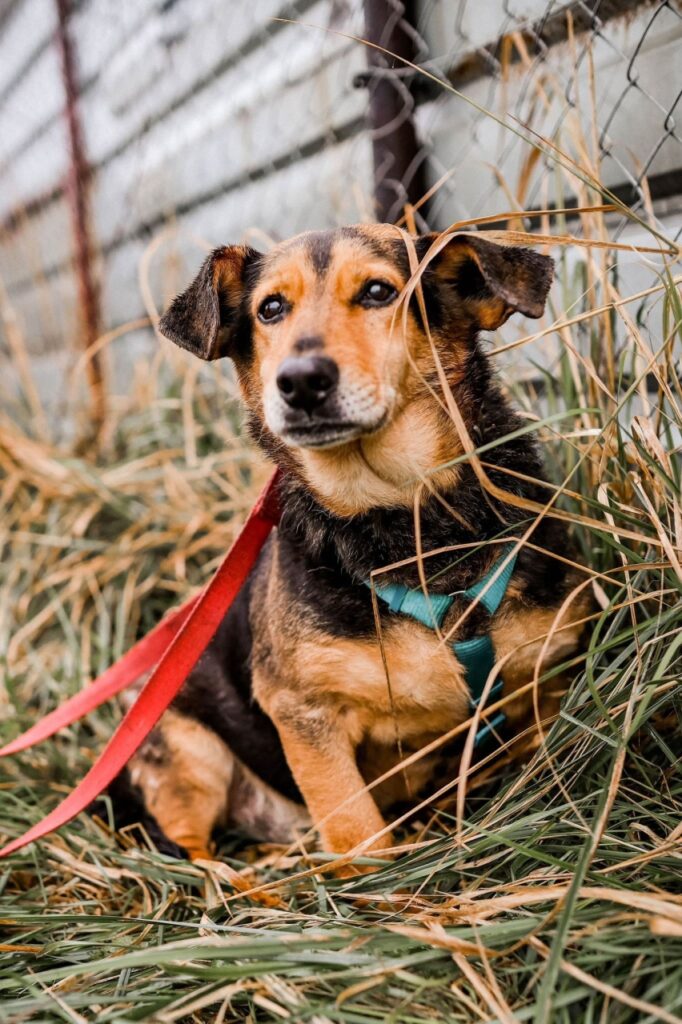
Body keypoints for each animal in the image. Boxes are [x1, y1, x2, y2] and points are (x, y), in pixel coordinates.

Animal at [106, 226, 589, 864]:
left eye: (379, 292)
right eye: (270, 308)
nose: (300, 380)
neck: (403, 519)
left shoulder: (547, 666)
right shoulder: (305, 712)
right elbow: (356, 831)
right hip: (187, 749)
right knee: (192, 852)